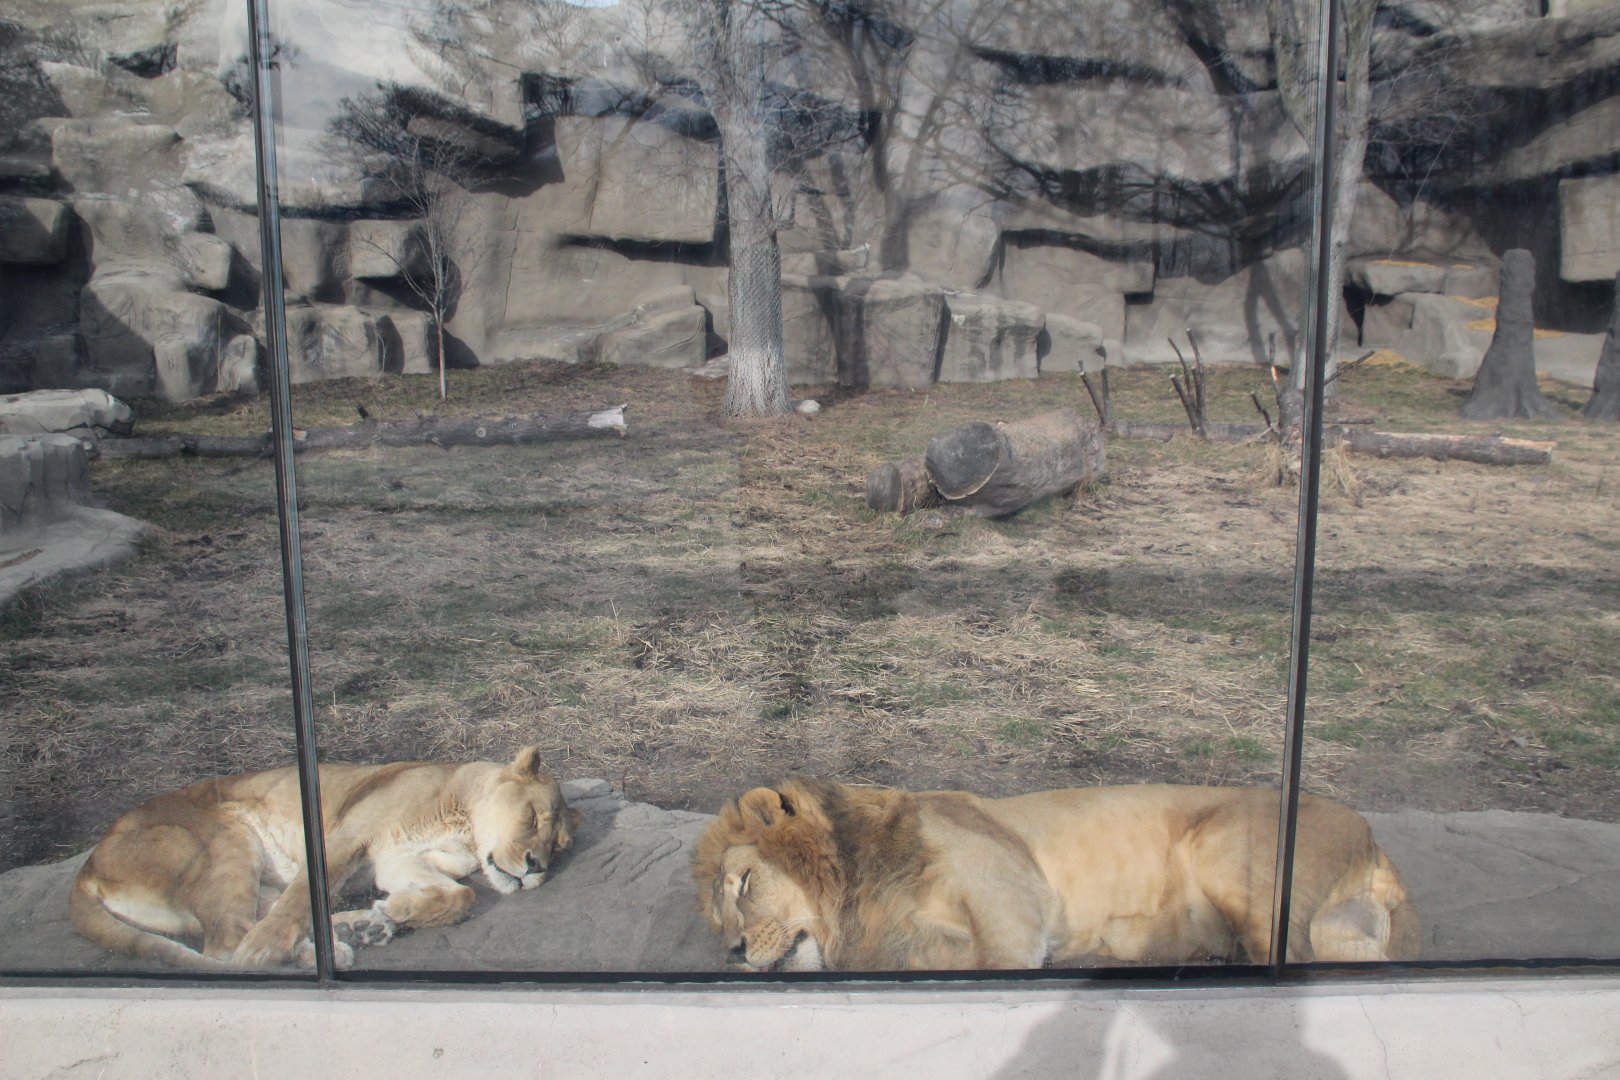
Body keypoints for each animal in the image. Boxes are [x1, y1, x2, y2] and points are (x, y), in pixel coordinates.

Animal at [70, 746, 581, 970]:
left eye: (558, 848)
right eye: (533, 817)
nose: (535, 867)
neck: (462, 826)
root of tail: (87, 866)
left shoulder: (396, 861)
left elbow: (458, 896)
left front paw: (396, 911)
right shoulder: (344, 838)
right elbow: (299, 901)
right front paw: (268, 946)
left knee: (257, 919)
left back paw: (356, 932)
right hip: (226, 839)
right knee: (230, 942)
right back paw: (293, 951)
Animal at [694, 780, 1419, 971]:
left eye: (744, 884)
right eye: (715, 923)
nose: (731, 952)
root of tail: (1373, 837)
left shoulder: (1010, 891)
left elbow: (1002, 961)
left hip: (1228, 850)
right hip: (1344, 930)